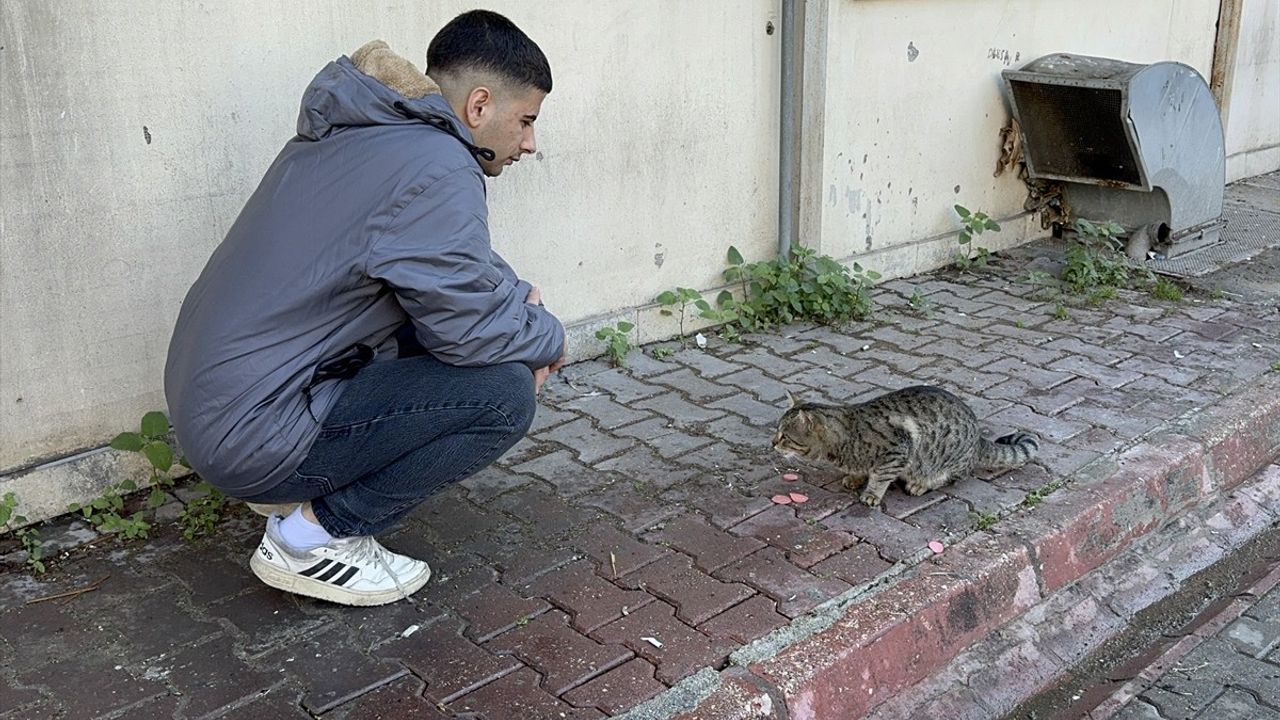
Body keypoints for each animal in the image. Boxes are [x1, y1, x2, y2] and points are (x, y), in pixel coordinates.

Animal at [768, 386, 1039, 504]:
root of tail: (978, 438)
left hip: (945, 460)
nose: (772, 443)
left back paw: (921, 484)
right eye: (776, 432)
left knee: (954, 477)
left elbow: (879, 477)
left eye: (784, 436)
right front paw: (854, 478)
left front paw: (871, 494)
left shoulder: (896, 451)